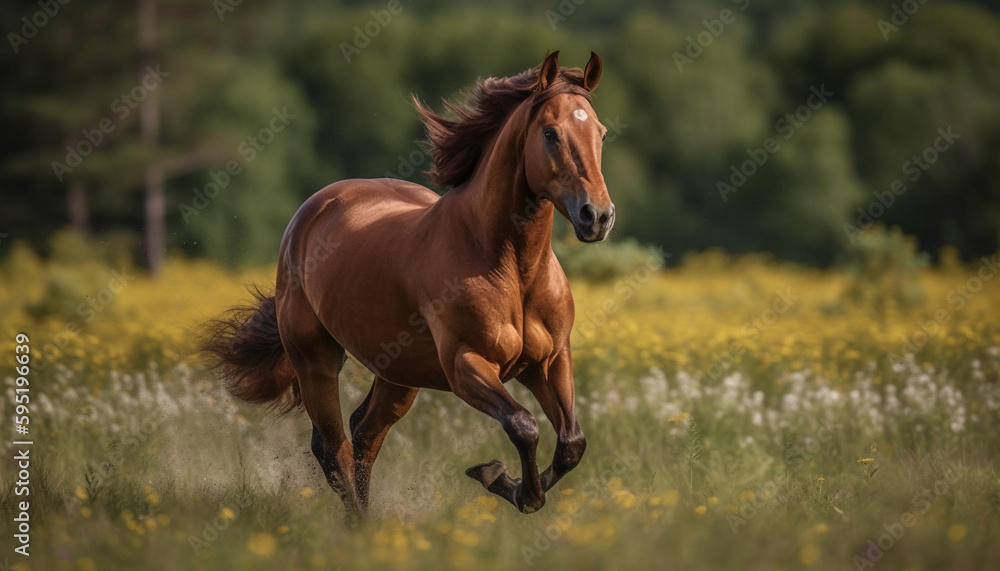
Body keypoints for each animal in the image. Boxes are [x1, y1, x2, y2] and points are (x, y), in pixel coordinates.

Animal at [205, 51, 615, 519]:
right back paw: (360, 525)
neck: (513, 268)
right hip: (315, 360)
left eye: (601, 133)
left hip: (399, 375)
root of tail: (312, 211)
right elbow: (524, 426)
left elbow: (571, 444)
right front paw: (501, 480)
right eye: (550, 133)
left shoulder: (549, 362)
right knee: (335, 447)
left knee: (363, 436)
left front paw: (507, 483)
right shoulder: (466, 365)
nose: (597, 216)